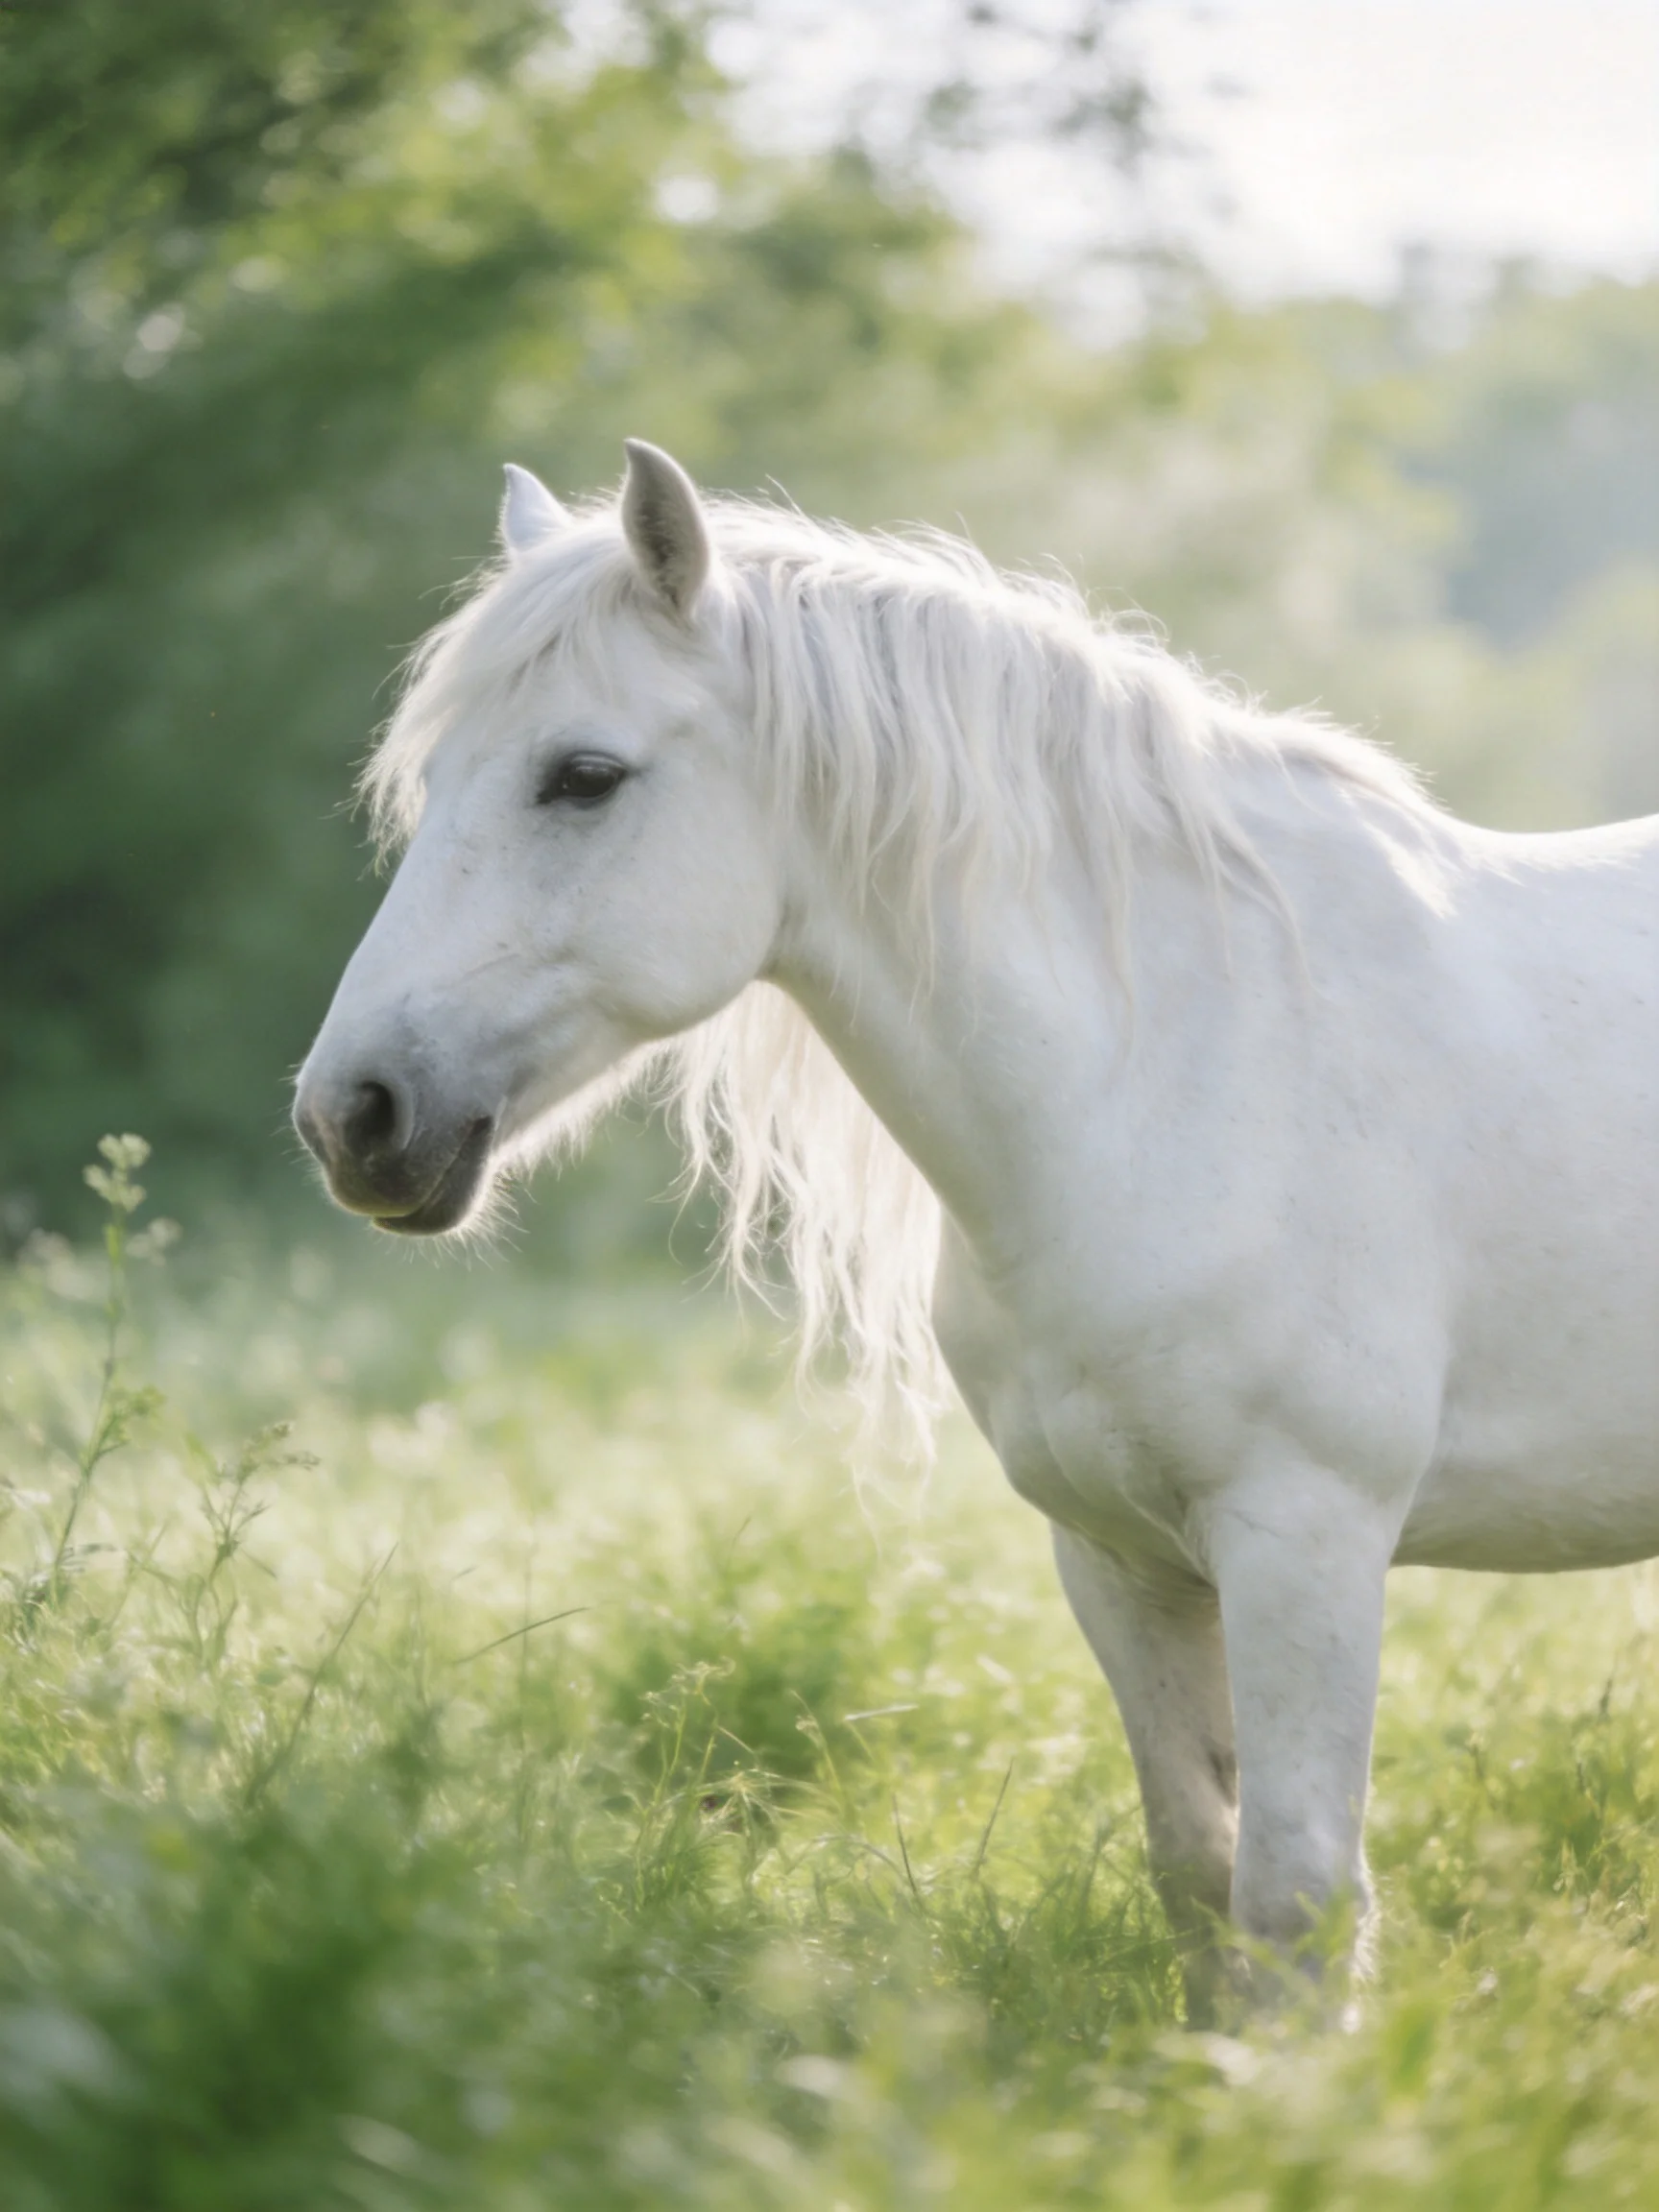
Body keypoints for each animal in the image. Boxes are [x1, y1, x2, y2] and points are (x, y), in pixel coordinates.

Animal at [295, 440, 1659, 2014]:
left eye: (582, 777)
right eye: (435, 776)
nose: (353, 1116)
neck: (1175, 1063)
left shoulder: (1304, 1537)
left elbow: (1296, 1896)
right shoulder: (1120, 1557)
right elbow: (1201, 1877)